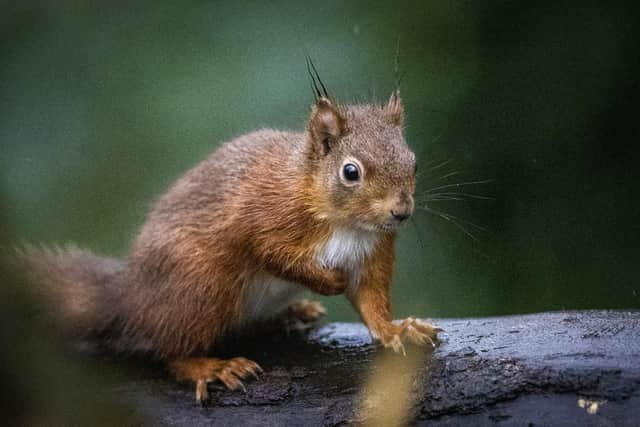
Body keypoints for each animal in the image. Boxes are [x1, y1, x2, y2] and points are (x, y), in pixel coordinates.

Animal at [20, 68, 440, 402]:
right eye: (350, 172)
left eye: (414, 162)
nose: (401, 212)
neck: (346, 223)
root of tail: (131, 297)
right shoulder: (258, 216)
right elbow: (271, 253)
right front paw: (326, 281)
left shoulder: (372, 253)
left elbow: (371, 301)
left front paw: (398, 329)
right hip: (202, 284)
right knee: (169, 349)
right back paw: (208, 367)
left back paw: (292, 312)